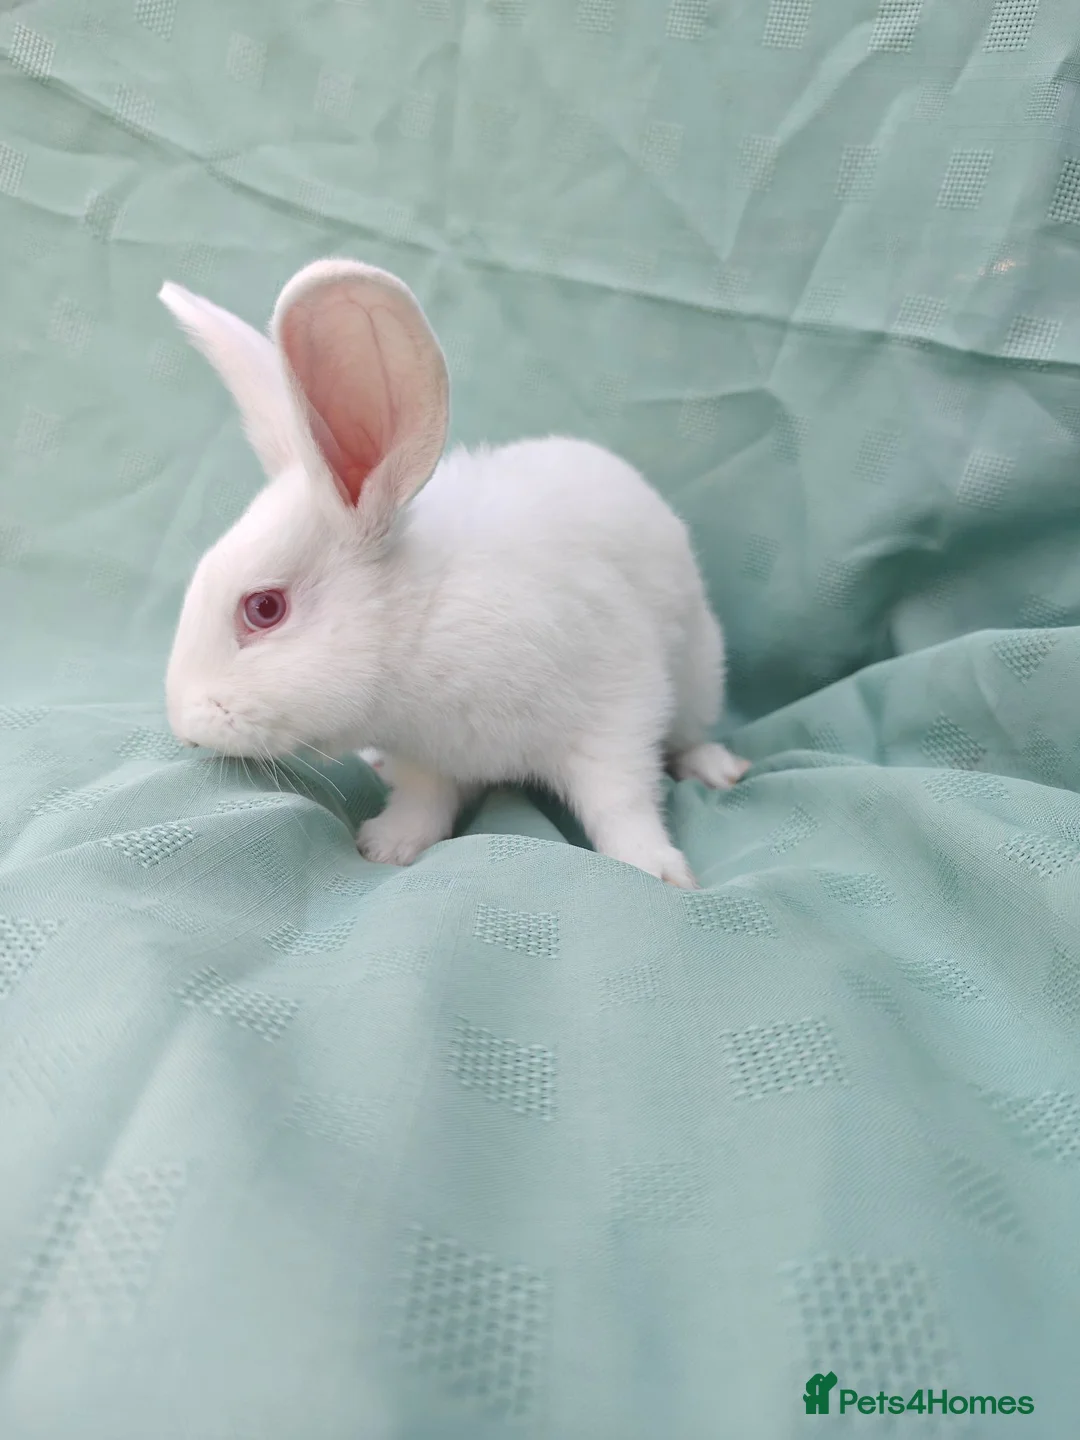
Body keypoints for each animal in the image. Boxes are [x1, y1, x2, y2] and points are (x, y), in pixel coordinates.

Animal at [160, 259, 749, 888]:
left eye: (264, 608)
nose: (185, 727)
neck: (420, 622)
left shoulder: (617, 707)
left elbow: (622, 799)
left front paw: (659, 872)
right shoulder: (428, 758)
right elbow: (424, 802)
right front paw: (385, 846)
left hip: (698, 674)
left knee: (689, 735)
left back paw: (720, 768)